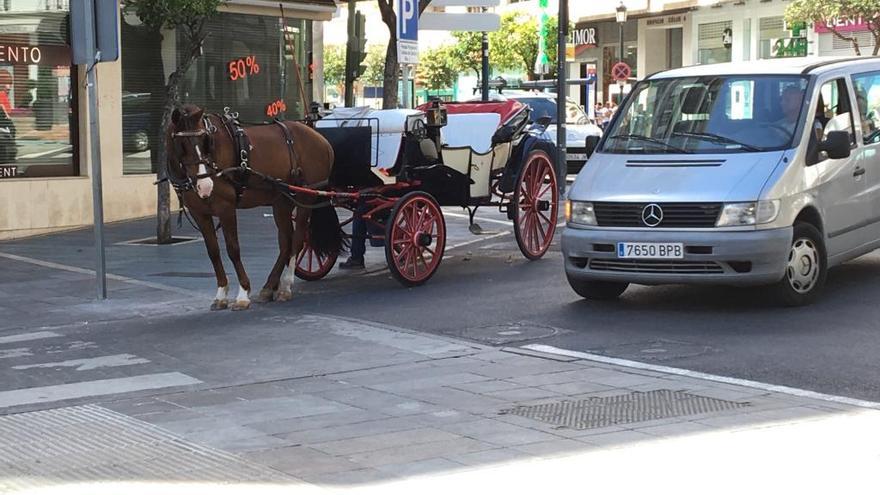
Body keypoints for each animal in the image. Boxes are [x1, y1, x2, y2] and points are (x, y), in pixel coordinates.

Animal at [167, 104, 342, 312]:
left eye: (205, 141)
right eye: (182, 144)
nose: (206, 186)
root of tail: (321, 139)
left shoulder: (226, 208)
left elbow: (233, 249)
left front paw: (243, 294)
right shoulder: (199, 213)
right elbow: (213, 252)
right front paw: (221, 294)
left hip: (305, 196)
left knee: (298, 240)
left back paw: (285, 286)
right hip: (282, 201)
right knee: (286, 242)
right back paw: (269, 287)